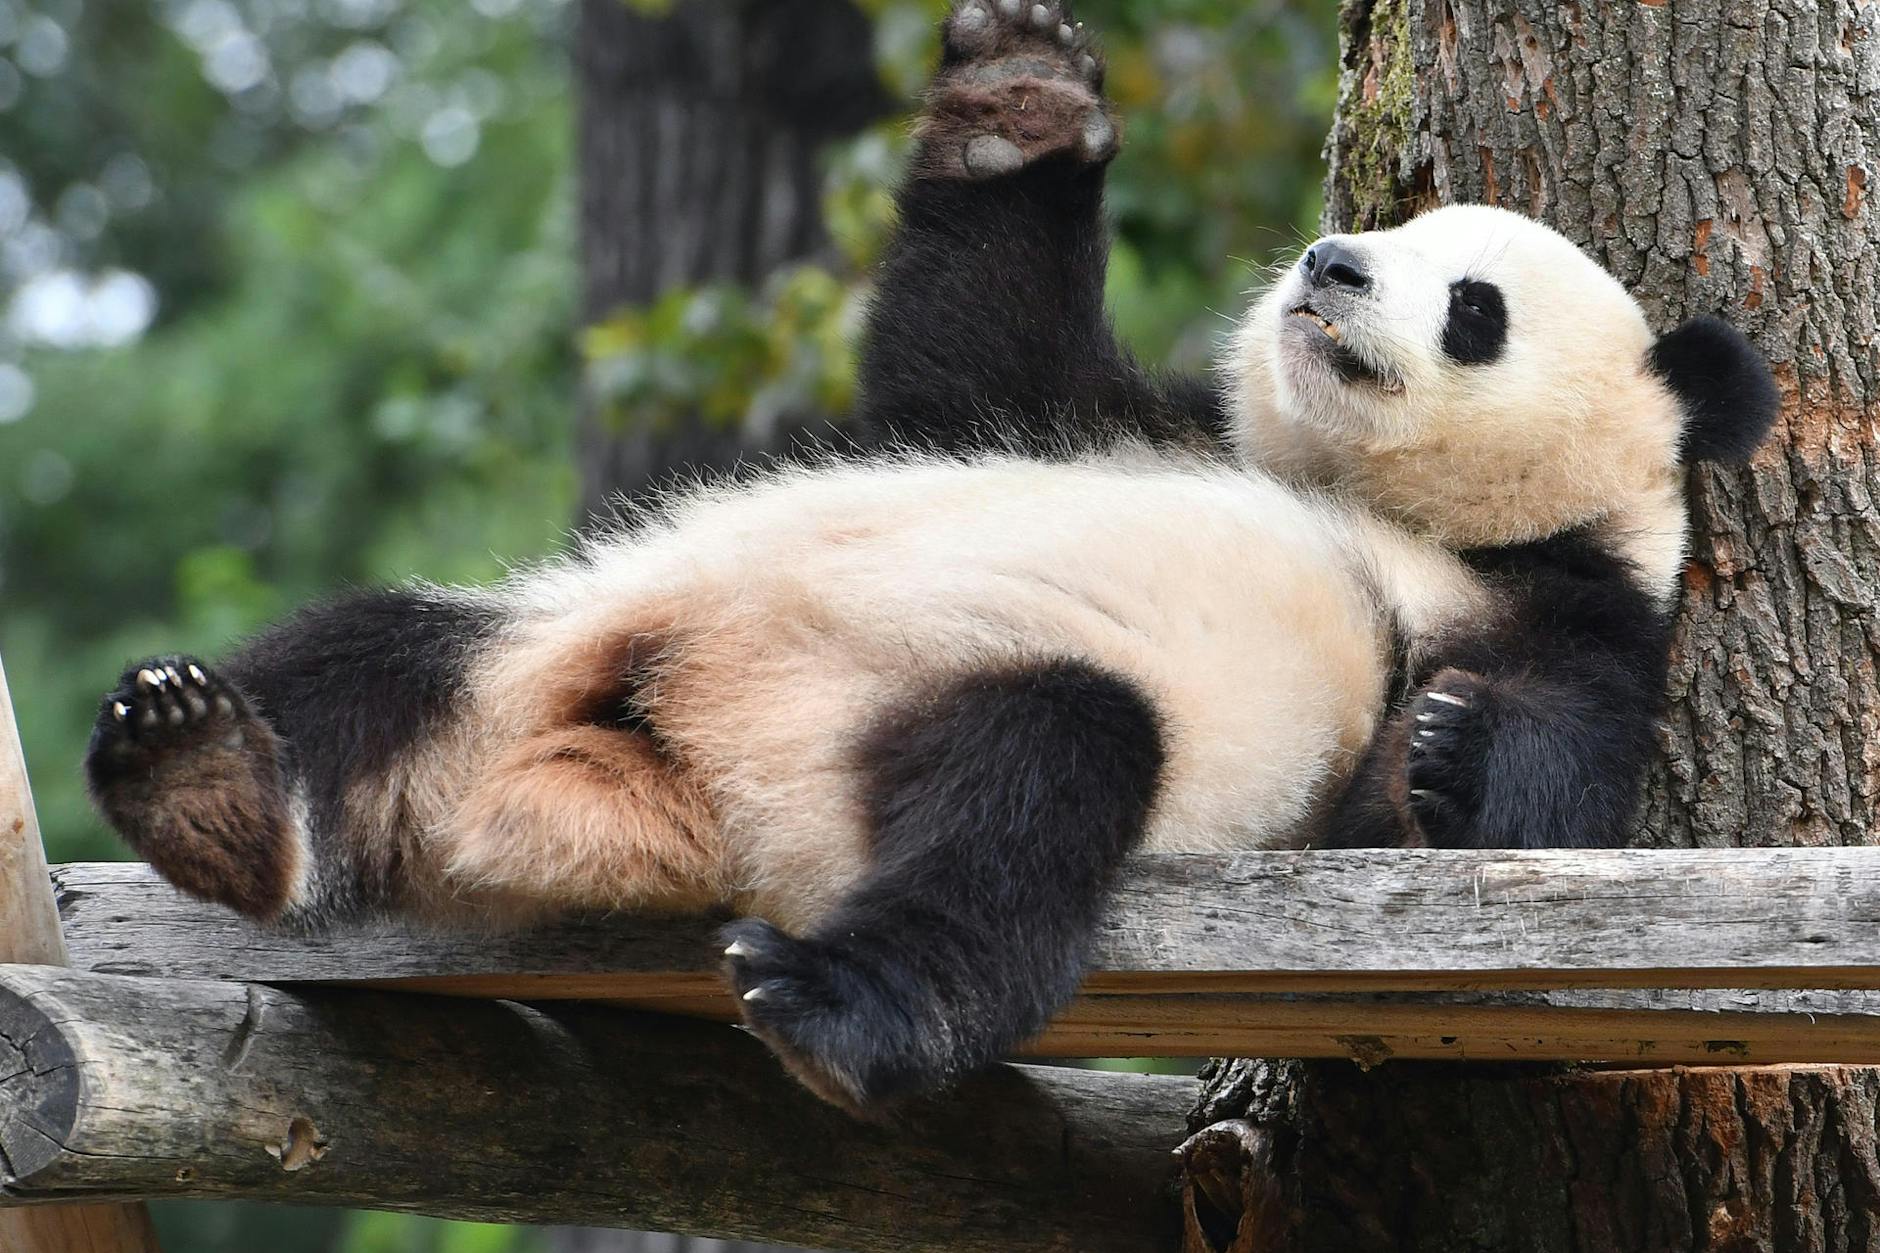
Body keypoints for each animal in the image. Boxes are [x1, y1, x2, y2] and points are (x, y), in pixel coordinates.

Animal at [84, 0, 1778, 1114]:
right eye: (1392, 231)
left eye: (1473, 304)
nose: (1329, 262)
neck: (1394, 506)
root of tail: (649, 774)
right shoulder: (1132, 419)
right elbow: (964, 361)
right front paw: (1017, 95)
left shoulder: (1573, 609)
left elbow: (1530, 794)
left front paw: (1447, 747)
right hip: (552, 635)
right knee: (374, 651)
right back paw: (202, 770)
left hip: (902, 731)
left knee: (1031, 791)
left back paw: (835, 1015)